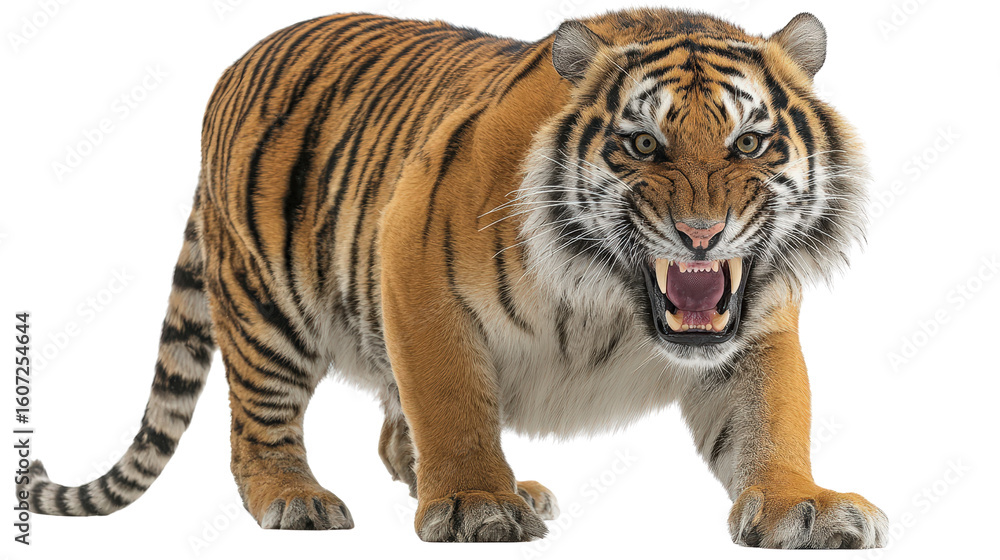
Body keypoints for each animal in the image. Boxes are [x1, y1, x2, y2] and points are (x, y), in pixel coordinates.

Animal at [18, 8, 888, 547]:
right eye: (642, 145)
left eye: (751, 145)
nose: (701, 233)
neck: (613, 301)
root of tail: (233, 66)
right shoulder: (417, 275)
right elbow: (453, 403)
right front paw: (475, 503)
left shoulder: (757, 328)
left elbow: (769, 418)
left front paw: (802, 507)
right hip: (266, 310)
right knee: (258, 426)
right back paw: (296, 498)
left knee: (388, 432)